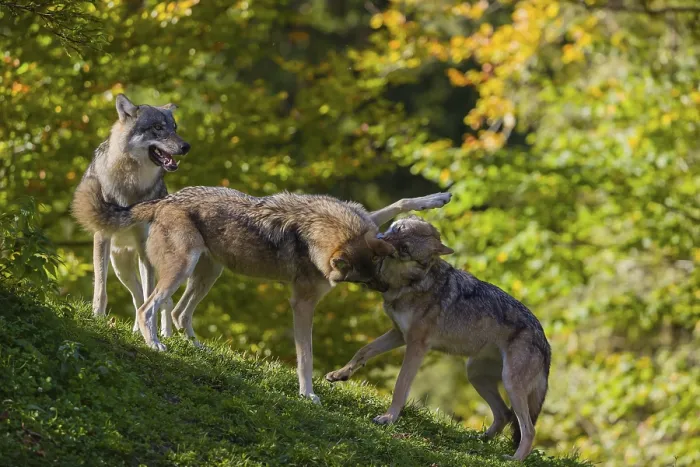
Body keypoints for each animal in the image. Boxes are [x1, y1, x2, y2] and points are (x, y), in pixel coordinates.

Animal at [71, 182, 451, 402]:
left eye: (380, 268)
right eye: (365, 281)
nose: (385, 289)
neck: (317, 228)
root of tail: (164, 200)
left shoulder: (370, 222)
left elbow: (401, 201)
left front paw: (439, 197)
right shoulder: (302, 303)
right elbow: (306, 356)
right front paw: (307, 394)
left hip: (207, 273)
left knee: (178, 313)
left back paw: (197, 349)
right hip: (182, 269)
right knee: (147, 308)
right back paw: (155, 345)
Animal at [72, 94, 190, 336]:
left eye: (174, 128)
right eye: (157, 128)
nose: (186, 146)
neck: (131, 183)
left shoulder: (144, 247)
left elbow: (150, 295)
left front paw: (154, 333)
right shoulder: (102, 237)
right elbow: (101, 288)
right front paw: (97, 317)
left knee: (164, 301)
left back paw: (165, 333)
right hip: (121, 268)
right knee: (137, 297)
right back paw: (136, 330)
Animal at [325, 216, 551, 461]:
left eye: (404, 250)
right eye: (398, 229)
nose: (379, 239)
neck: (409, 284)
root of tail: (545, 340)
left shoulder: (417, 345)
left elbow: (400, 385)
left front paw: (388, 418)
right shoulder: (398, 334)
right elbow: (363, 350)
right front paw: (339, 374)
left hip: (509, 383)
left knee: (529, 429)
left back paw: (514, 459)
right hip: (475, 375)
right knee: (504, 414)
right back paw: (478, 440)